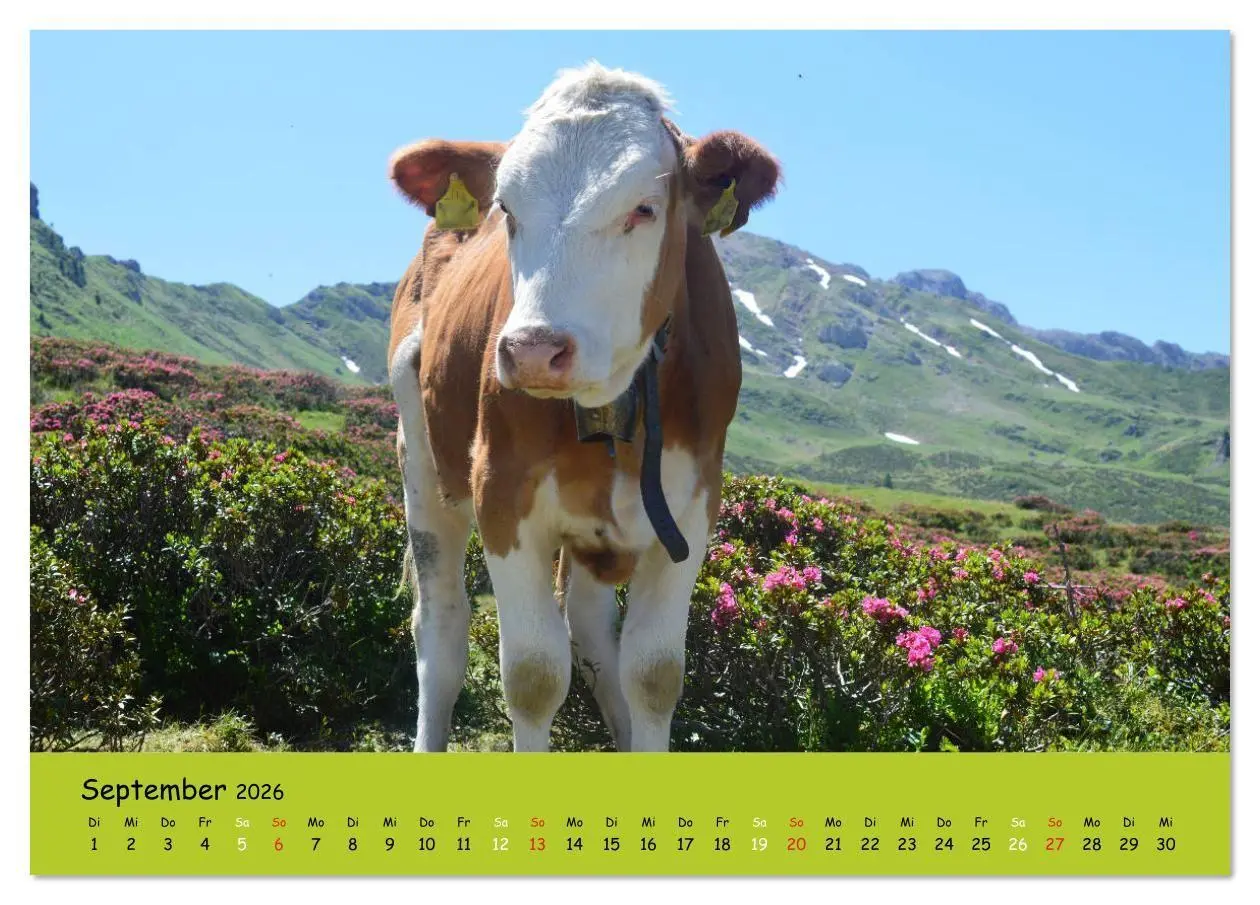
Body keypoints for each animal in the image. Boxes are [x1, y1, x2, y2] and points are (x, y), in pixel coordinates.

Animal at [386, 63, 780, 752]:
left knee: (593, 631)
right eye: (507, 210)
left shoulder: (693, 506)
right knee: (440, 628)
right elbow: (533, 675)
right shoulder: (502, 493)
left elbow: (653, 675)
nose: (533, 351)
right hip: (424, 465)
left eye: (644, 208)